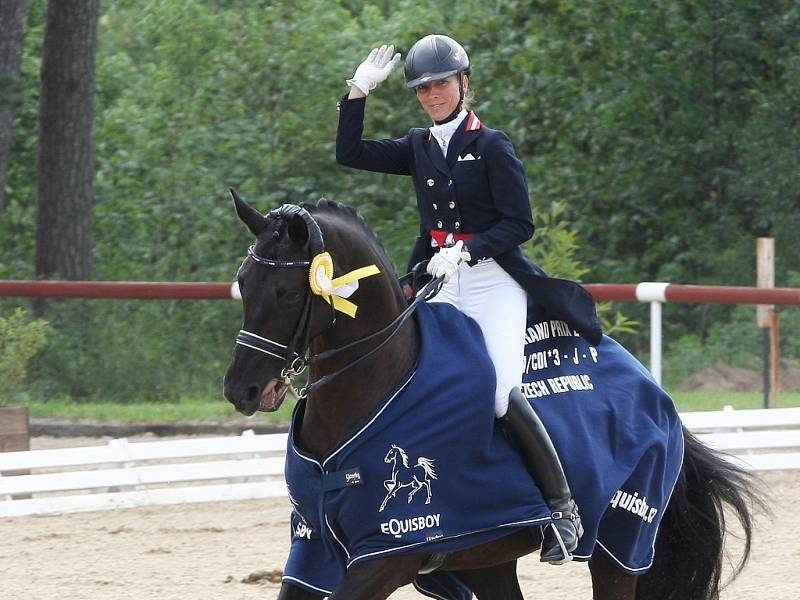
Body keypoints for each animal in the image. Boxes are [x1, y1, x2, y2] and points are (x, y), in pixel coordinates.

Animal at [223, 191, 764, 600]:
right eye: (244, 283)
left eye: (290, 293)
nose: (242, 390)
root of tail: (652, 387)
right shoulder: (313, 546)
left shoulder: (389, 553)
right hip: (487, 558)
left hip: (622, 543)